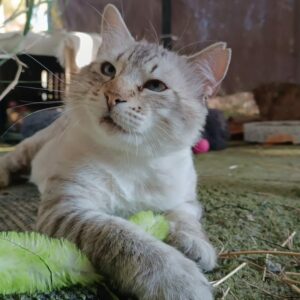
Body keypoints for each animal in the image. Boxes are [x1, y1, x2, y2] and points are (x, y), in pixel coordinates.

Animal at [0, 4, 231, 300]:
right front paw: (178, 278)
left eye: (155, 86)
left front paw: (194, 245)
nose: (112, 97)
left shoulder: (185, 201)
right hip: (31, 149)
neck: (133, 160)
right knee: (12, 159)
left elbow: (185, 220)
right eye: (108, 69)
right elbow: (124, 236)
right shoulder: (68, 208)